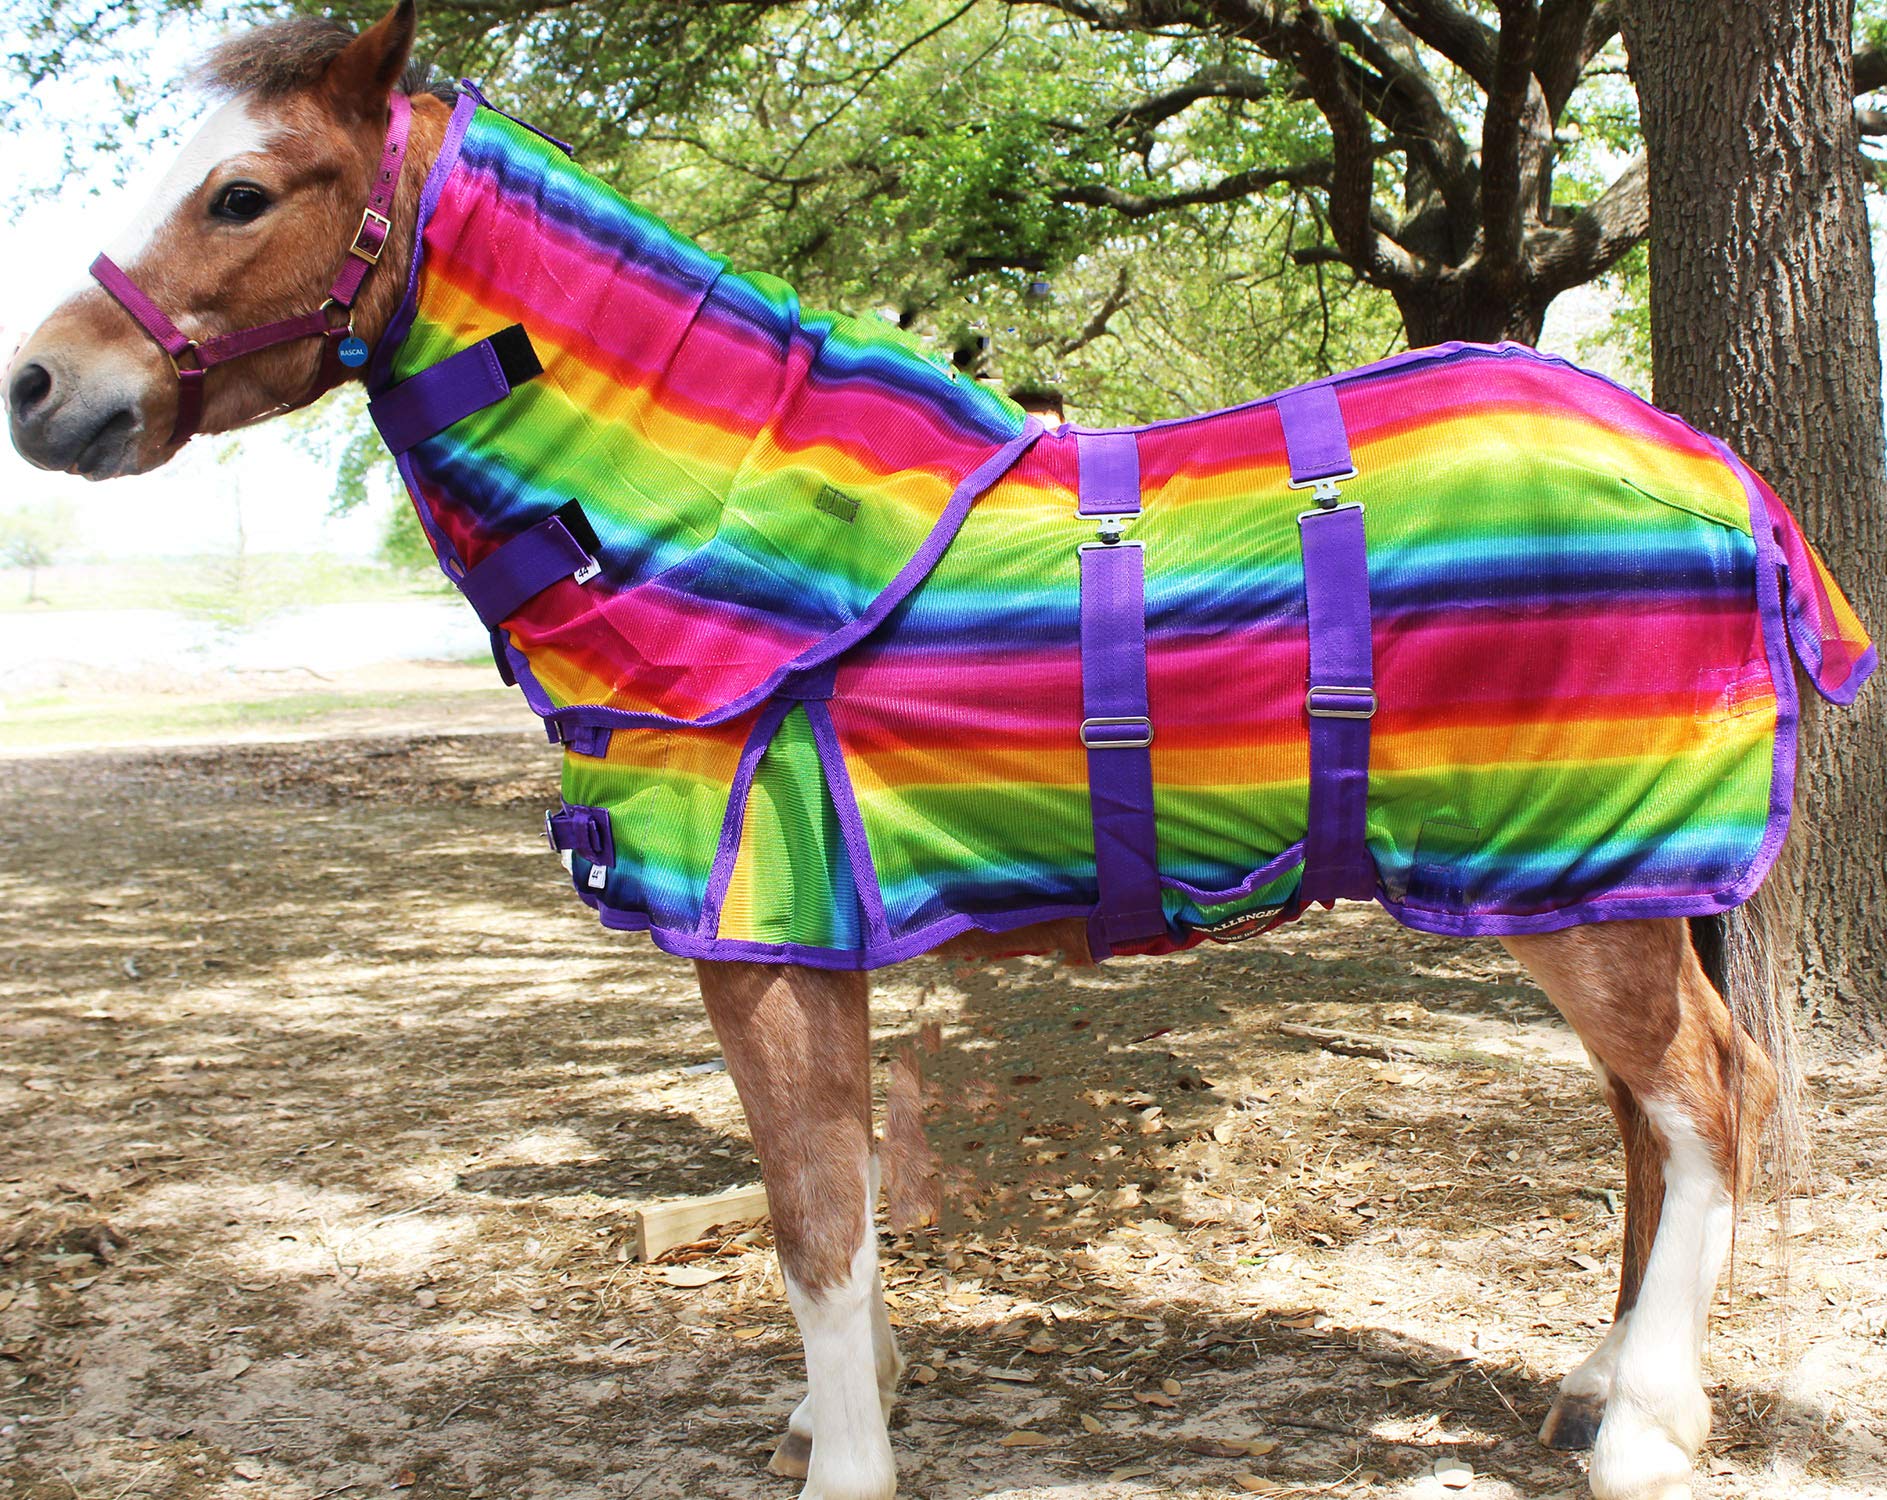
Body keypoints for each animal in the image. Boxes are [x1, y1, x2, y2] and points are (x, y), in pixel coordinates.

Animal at [7, 8, 1875, 1500]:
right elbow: (832, 1202)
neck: (720, 521)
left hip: (1575, 883)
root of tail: (1706, 470)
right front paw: (846, 1411)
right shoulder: (804, 946)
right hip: (1589, 887)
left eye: (245, 193)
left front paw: (844, 1460)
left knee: (1708, 1099)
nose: (41, 387)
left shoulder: (760, 943)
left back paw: (1640, 1431)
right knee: (1650, 1122)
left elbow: (812, 1221)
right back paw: (1603, 1388)